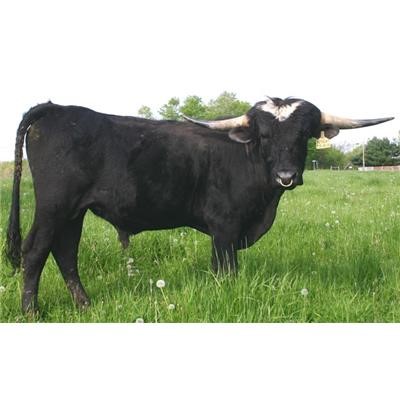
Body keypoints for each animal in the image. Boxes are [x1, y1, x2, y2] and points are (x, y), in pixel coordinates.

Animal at [5, 97, 393, 313]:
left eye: (303, 136)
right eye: (264, 135)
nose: (286, 176)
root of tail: (55, 109)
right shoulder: (225, 227)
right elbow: (226, 270)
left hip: (74, 211)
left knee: (65, 252)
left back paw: (84, 305)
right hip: (54, 206)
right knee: (35, 251)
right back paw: (31, 311)